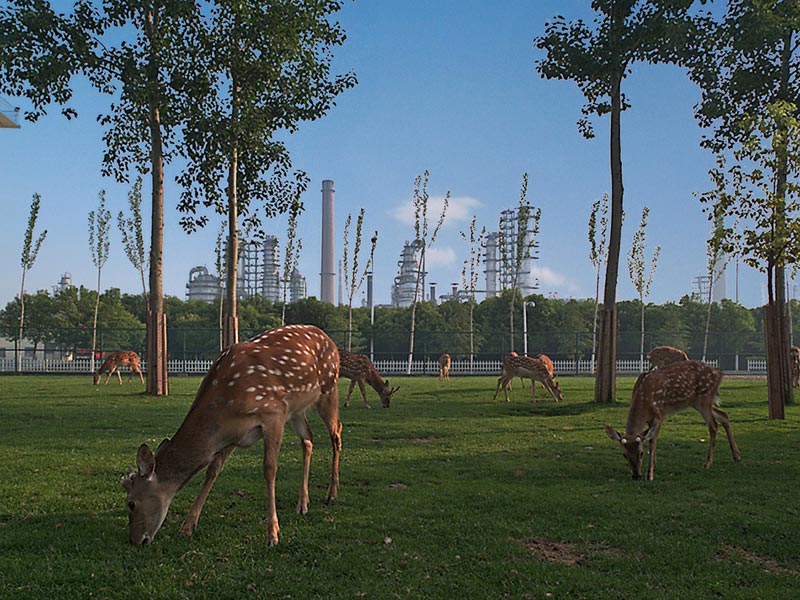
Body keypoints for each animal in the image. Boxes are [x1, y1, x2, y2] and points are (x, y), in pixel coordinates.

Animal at [120, 324, 342, 547]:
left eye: (131, 503)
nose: (135, 540)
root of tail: (329, 339)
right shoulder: (233, 435)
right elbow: (212, 471)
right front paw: (187, 527)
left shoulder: (274, 413)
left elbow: (269, 469)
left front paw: (272, 534)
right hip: (297, 411)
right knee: (308, 439)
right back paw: (303, 504)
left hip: (329, 388)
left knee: (336, 433)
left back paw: (331, 493)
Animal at [604, 360, 741, 481]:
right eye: (624, 454)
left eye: (641, 453)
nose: (636, 476)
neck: (644, 399)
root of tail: (719, 373)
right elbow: (652, 440)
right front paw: (654, 465)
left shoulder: (659, 414)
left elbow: (652, 441)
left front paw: (650, 475)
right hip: (697, 402)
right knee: (724, 415)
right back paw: (737, 456)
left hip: (704, 398)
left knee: (713, 425)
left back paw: (708, 463)